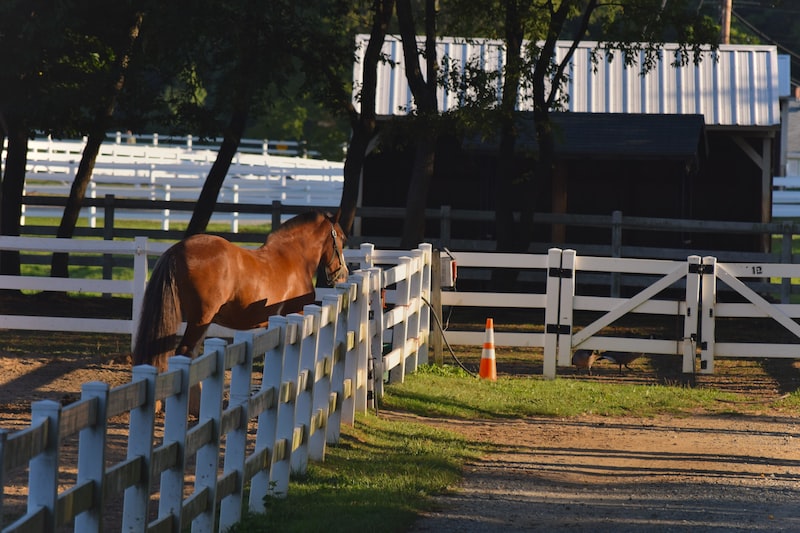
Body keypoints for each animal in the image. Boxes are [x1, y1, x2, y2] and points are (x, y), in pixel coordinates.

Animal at [132, 210, 346, 372]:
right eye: (342, 238)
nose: (342, 273)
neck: (294, 258)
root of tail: (176, 250)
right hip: (200, 319)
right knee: (184, 352)